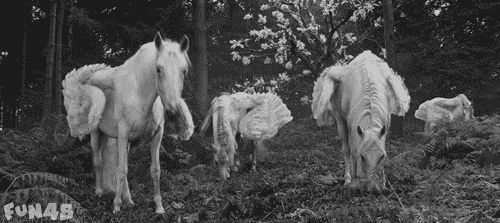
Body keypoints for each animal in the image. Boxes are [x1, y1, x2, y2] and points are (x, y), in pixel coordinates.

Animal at [61, 32, 194, 213]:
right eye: (158, 69)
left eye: (184, 70)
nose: (173, 112)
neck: (140, 95)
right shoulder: (123, 133)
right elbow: (120, 170)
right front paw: (116, 206)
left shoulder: (155, 136)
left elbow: (155, 170)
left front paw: (159, 207)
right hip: (96, 134)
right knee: (98, 162)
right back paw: (99, 193)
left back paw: (129, 200)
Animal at [312, 50, 410, 192]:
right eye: (363, 157)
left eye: (381, 156)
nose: (374, 189)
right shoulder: (353, 129)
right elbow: (353, 152)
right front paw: (354, 180)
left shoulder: (383, 129)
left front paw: (383, 182)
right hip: (340, 120)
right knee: (346, 149)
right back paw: (348, 178)